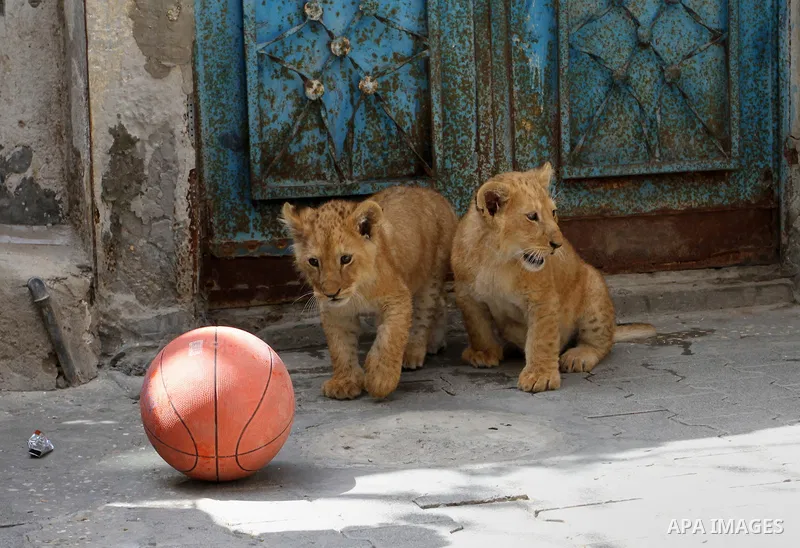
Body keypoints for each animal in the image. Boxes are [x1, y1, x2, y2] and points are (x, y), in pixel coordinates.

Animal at [281, 186, 458, 400]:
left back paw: (414, 351)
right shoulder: (336, 311)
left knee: (425, 312)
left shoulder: (397, 297)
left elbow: (389, 338)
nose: (331, 293)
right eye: (314, 261)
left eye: (345, 258)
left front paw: (381, 379)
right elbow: (340, 346)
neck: (357, 289)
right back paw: (435, 343)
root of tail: (432, 192)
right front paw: (345, 382)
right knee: (441, 302)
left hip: (431, 275)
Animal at [450, 163, 655, 393]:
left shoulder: (542, 299)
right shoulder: (467, 296)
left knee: (602, 342)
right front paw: (483, 353)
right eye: (532, 217)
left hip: (594, 288)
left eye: (553, 212)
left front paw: (540, 377)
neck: (498, 260)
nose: (558, 244)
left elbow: (541, 338)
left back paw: (578, 356)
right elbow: (478, 328)